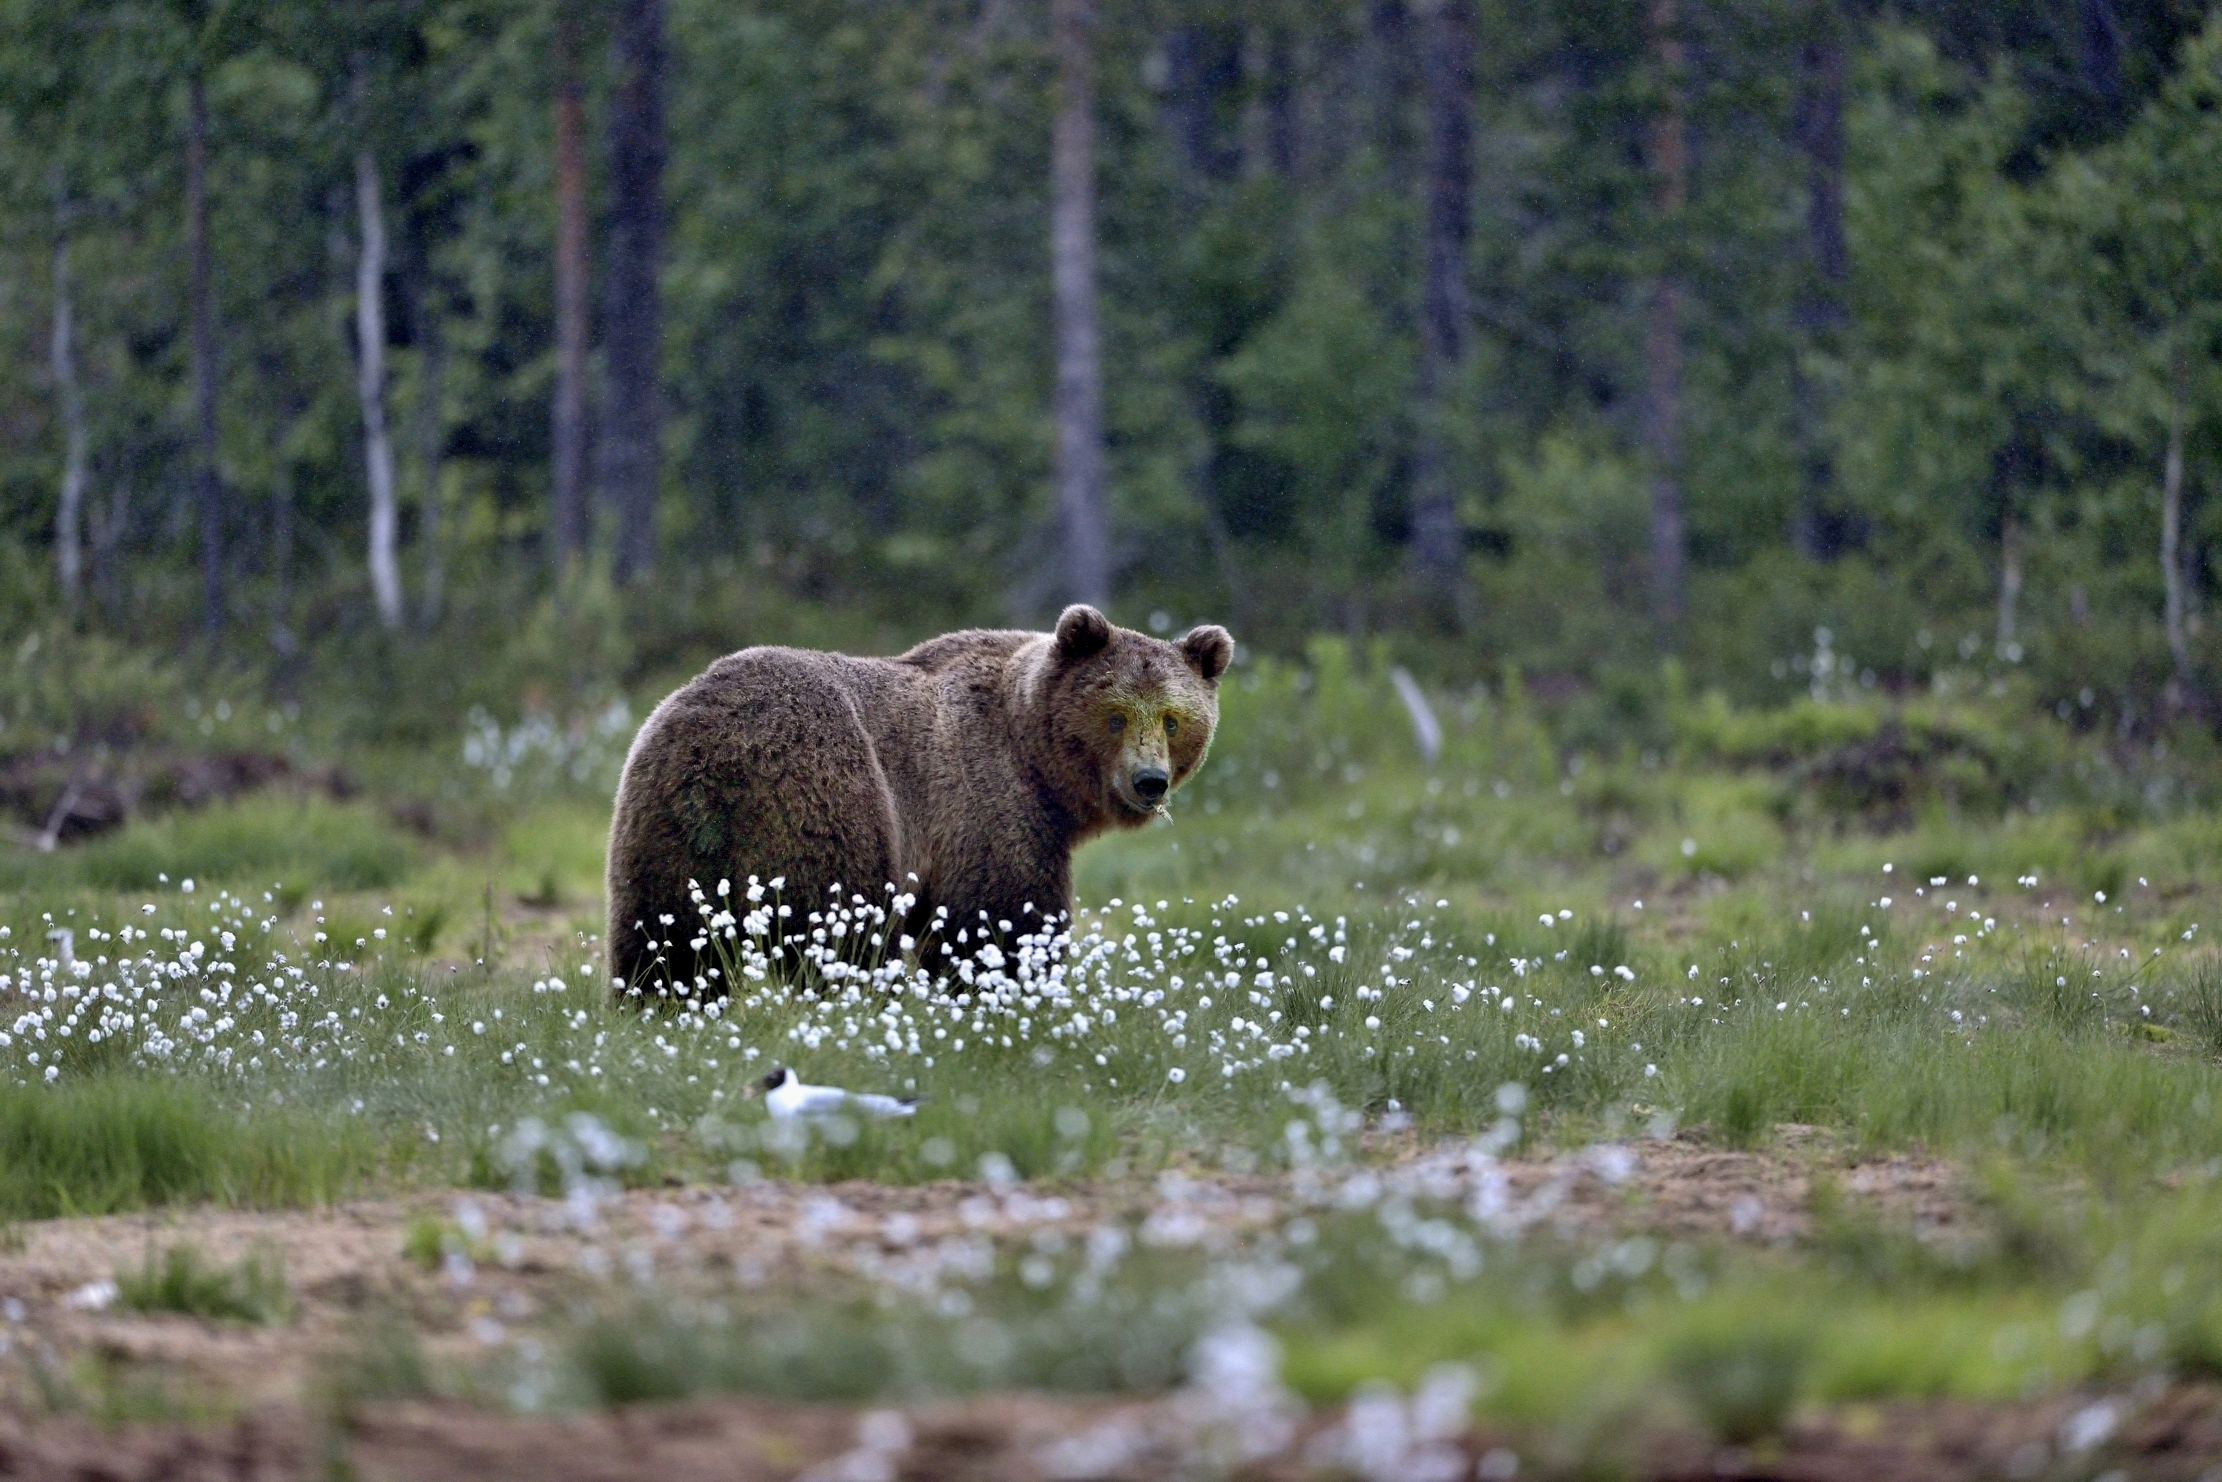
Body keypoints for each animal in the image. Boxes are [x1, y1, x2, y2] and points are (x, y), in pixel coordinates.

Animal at [604, 604, 1233, 995]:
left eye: (1173, 720)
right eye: (1116, 715)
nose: (1149, 781)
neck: (1034, 757)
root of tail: (721, 752)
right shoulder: (984, 798)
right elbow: (1000, 917)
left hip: (662, 819)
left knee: (661, 937)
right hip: (828, 790)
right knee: (838, 925)